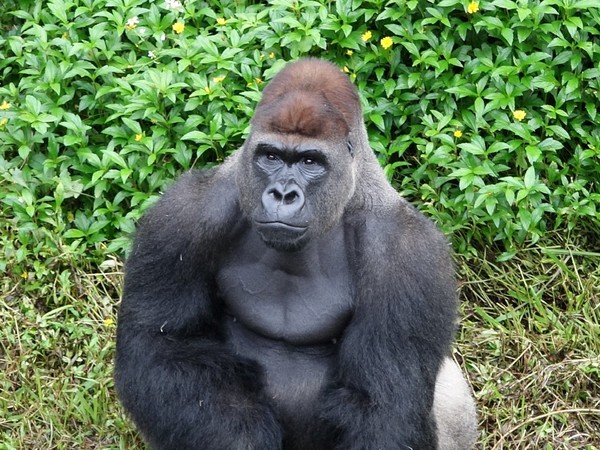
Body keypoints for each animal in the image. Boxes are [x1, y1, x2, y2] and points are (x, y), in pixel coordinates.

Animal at [115, 59, 476, 450]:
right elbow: (163, 348)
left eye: (310, 161)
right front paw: (242, 440)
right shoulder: (184, 215)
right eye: (271, 156)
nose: (283, 194)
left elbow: (384, 403)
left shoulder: (409, 253)